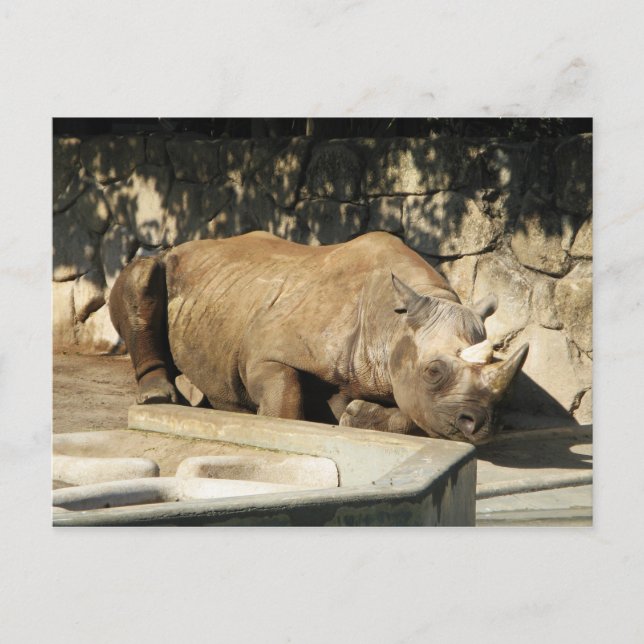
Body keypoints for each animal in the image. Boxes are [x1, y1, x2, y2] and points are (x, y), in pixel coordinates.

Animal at [109, 231, 528, 445]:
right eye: (434, 372)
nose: (481, 424)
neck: (392, 324)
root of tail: (184, 245)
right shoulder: (265, 353)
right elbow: (285, 396)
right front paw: (281, 425)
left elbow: (415, 416)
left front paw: (356, 415)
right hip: (170, 264)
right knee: (143, 273)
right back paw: (159, 398)